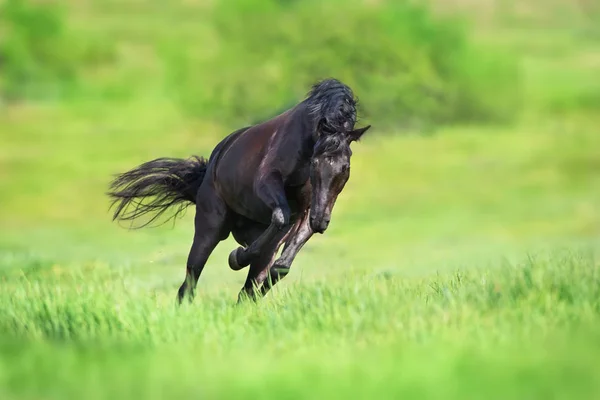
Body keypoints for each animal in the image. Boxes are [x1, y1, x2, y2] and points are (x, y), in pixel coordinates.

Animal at [108, 78, 370, 304]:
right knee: (189, 283)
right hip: (210, 229)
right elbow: (280, 216)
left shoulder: (308, 209)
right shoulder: (266, 181)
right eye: (315, 162)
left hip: (261, 241)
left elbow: (281, 265)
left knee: (249, 285)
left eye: (345, 167)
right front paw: (236, 257)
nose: (321, 221)